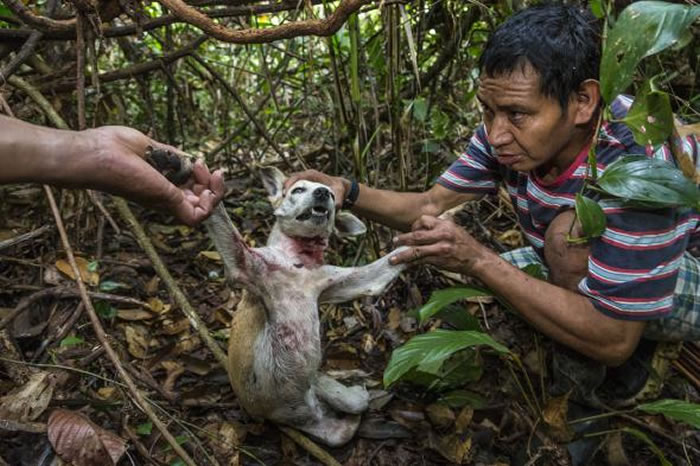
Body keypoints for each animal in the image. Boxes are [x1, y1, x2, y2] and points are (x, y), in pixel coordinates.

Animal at [148, 151, 408, 446]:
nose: (322, 193)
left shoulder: (347, 283)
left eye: (332, 193)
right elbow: (218, 214)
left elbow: (386, 264)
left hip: (325, 417)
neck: (297, 262)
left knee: (350, 414)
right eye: (297, 190)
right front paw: (176, 167)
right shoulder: (243, 264)